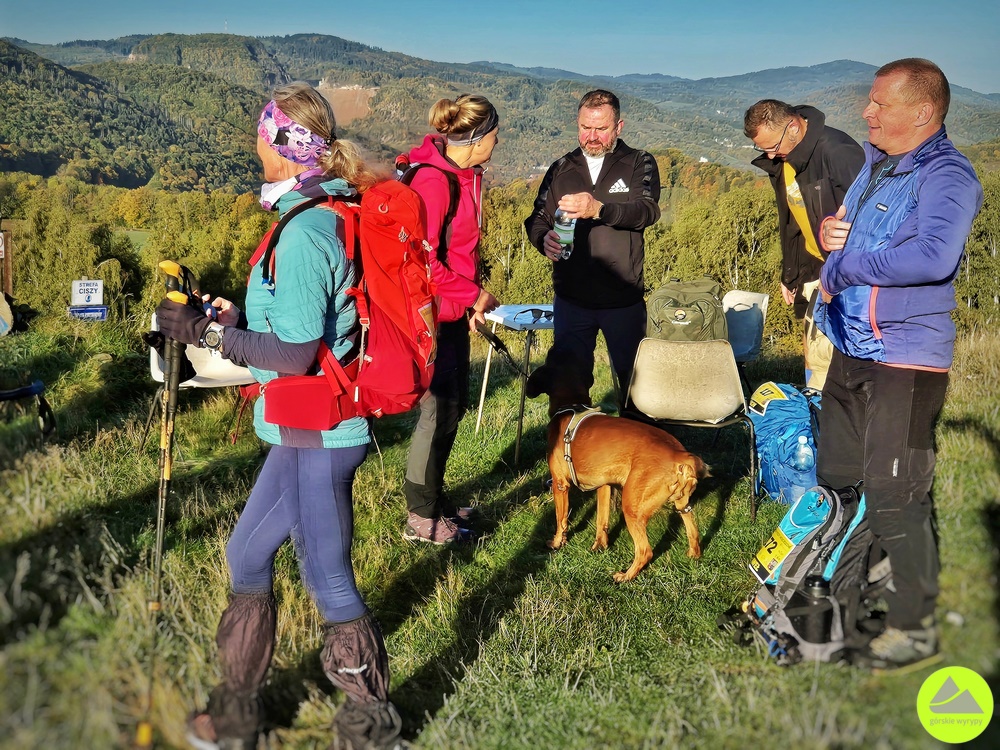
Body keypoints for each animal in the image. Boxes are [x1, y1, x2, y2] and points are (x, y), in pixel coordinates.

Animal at [528, 350, 708, 584]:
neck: (572, 405)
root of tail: (679, 454)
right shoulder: (604, 486)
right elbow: (601, 520)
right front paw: (600, 546)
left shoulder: (560, 484)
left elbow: (561, 519)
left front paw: (557, 542)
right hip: (681, 503)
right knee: (693, 531)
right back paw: (693, 555)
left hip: (632, 507)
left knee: (645, 550)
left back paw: (626, 576)